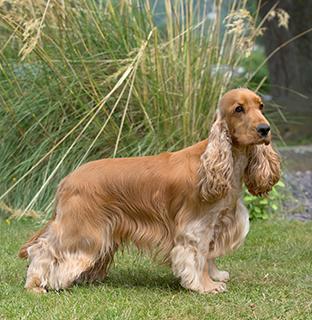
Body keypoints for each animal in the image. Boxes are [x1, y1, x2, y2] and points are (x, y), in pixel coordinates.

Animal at [18, 87, 280, 292]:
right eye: (239, 109)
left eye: (261, 106)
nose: (265, 129)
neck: (225, 161)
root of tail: (66, 180)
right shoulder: (195, 228)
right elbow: (198, 257)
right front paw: (206, 285)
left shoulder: (216, 223)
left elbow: (209, 256)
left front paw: (216, 276)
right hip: (82, 230)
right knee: (42, 249)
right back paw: (36, 285)